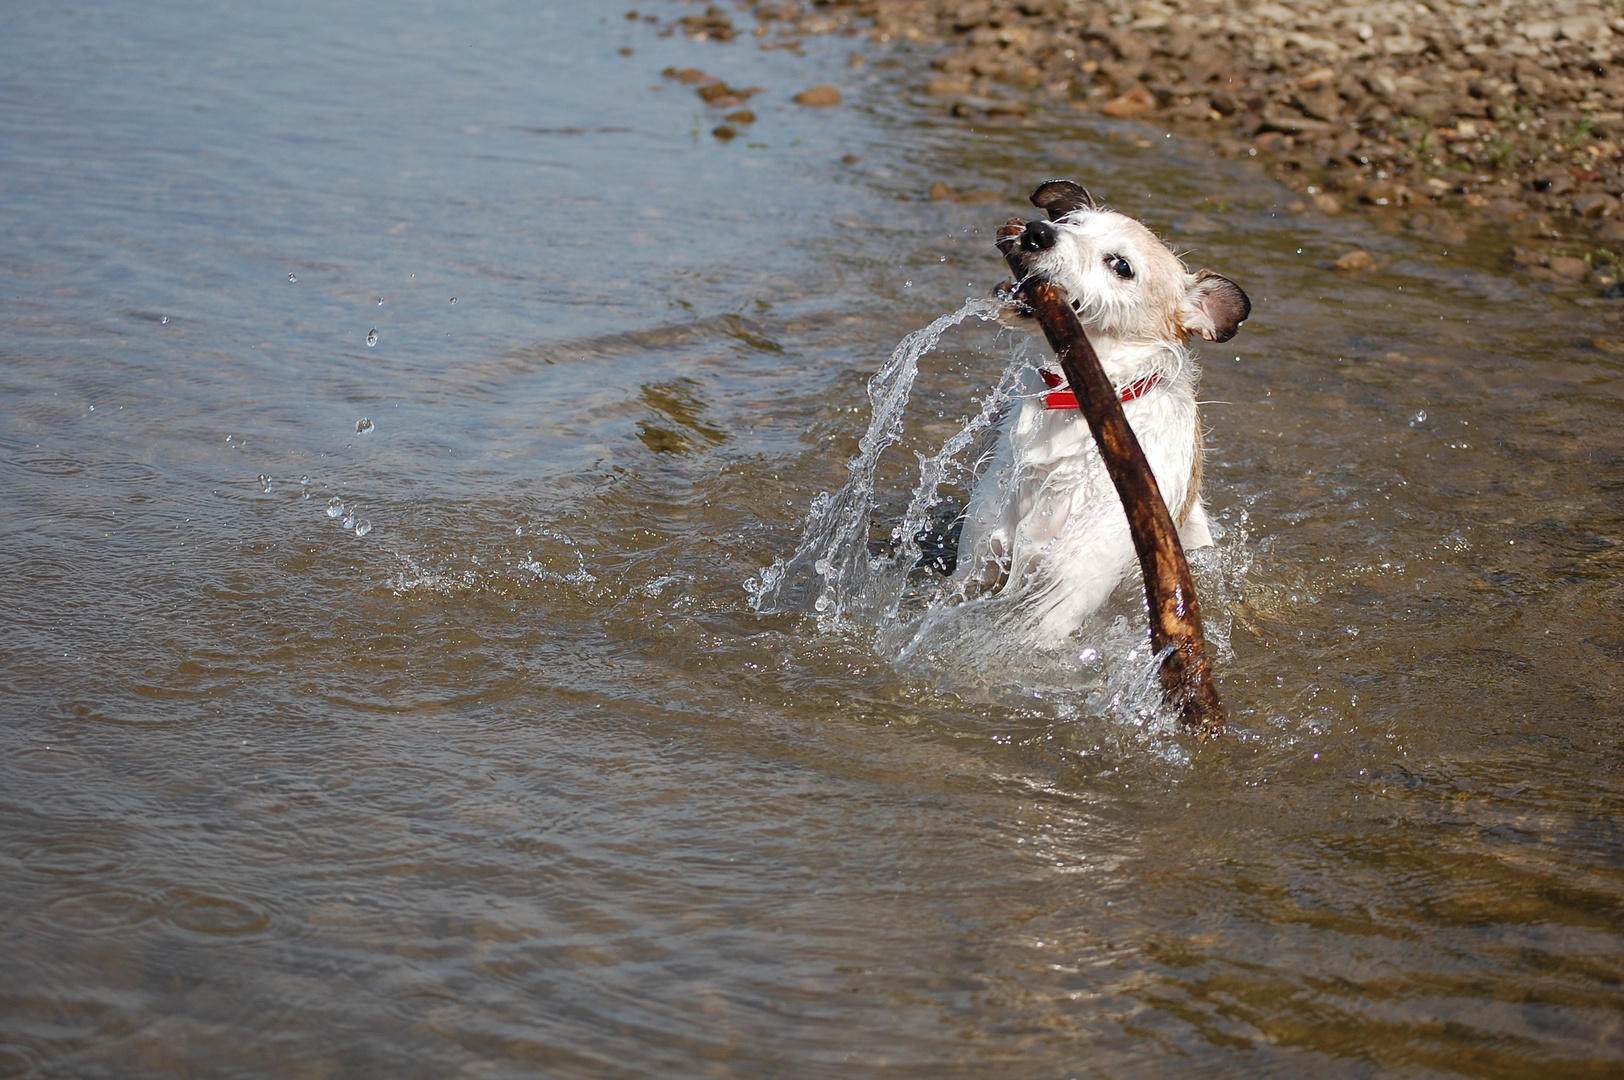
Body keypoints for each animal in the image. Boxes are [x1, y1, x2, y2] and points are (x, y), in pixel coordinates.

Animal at [948, 181, 1253, 643]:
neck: (1070, 406)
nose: (1037, 233)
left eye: (1121, 266)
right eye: (1070, 223)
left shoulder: (1063, 596)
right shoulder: (977, 563)